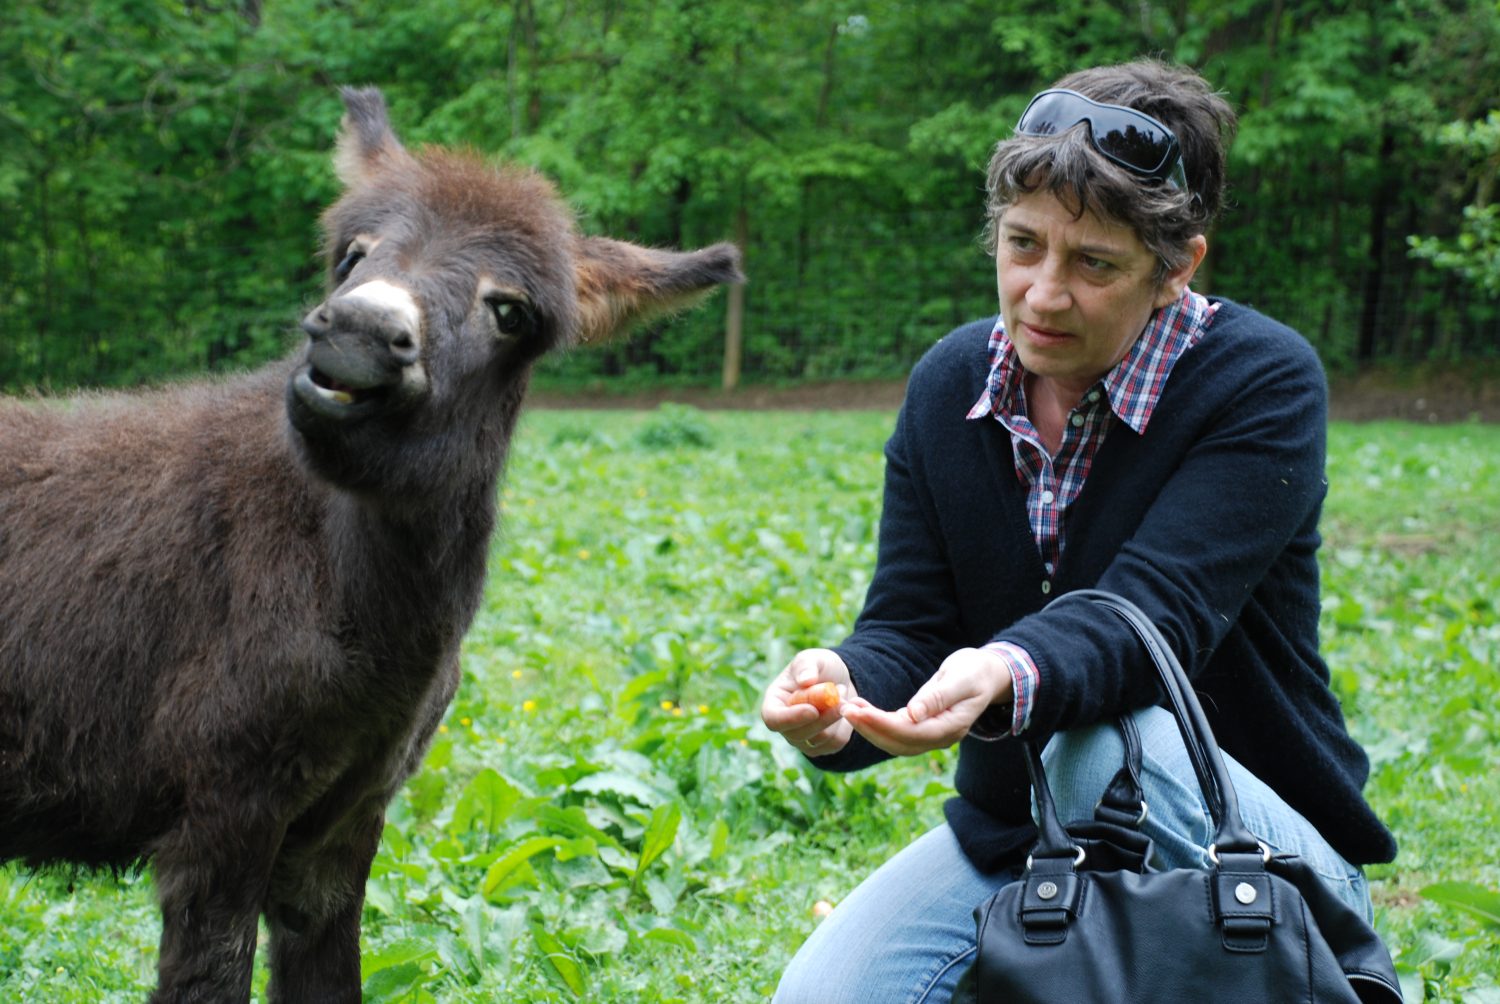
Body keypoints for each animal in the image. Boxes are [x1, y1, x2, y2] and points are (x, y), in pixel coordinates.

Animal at [0, 87, 741, 1003]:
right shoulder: (222, 808)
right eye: (351, 255)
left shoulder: (342, 820)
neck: (351, 595)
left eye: (510, 310)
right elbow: (210, 978)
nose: (356, 328)